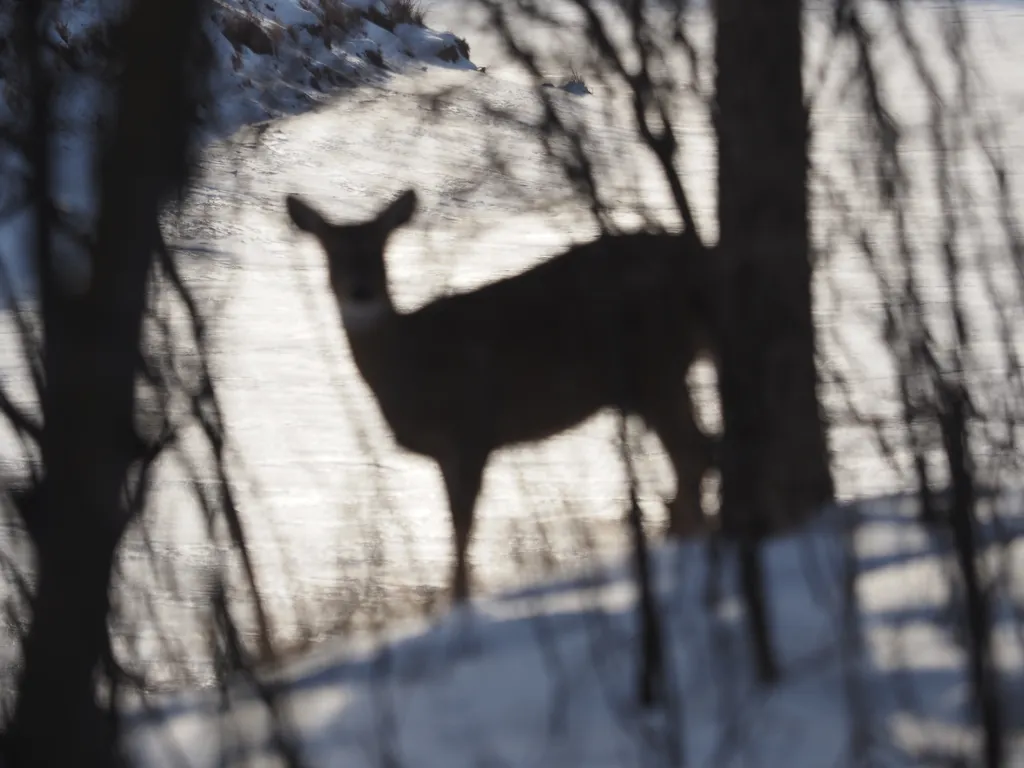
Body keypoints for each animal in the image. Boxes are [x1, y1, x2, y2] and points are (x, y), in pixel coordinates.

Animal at [286, 189, 720, 606]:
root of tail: (701, 257)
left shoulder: (472, 429)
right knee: (700, 451)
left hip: (656, 364)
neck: (413, 362)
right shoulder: (449, 449)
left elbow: (462, 524)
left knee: (694, 453)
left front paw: (459, 602)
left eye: (381, 246)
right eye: (331, 250)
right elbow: (456, 521)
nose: (362, 291)